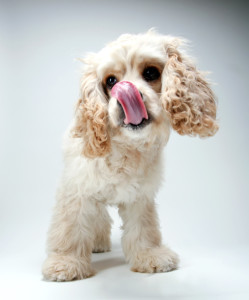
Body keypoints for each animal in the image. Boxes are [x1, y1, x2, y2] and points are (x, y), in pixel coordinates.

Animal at [42, 30, 218, 282]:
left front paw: (150, 255)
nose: (126, 93)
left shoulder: (140, 195)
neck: (126, 147)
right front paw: (65, 262)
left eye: (151, 72)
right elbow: (69, 227)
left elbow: (144, 227)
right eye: (111, 81)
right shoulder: (77, 189)